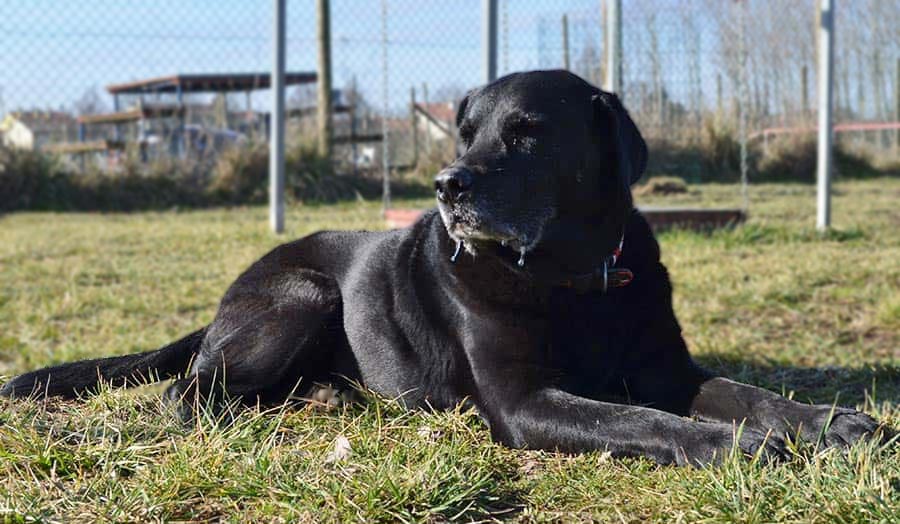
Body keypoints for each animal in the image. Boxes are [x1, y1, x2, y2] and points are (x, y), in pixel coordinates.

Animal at [0, 70, 884, 466]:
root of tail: (224, 301)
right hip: (306, 294)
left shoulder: (668, 369)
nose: (447, 185)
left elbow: (747, 393)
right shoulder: (525, 404)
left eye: (528, 131)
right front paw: (736, 446)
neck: (570, 283)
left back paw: (324, 395)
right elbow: (644, 421)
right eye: (464, 132)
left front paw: (828, 422)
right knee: (187, 393)